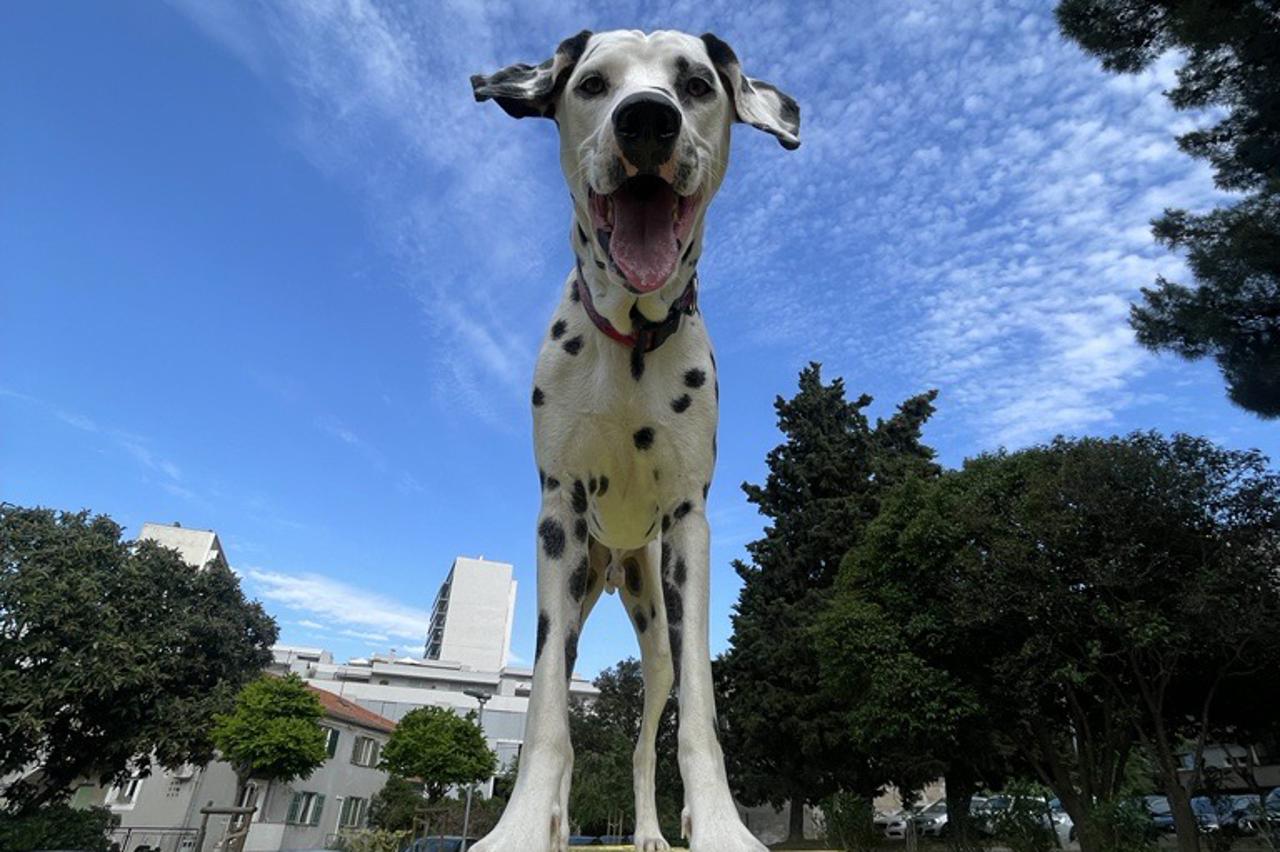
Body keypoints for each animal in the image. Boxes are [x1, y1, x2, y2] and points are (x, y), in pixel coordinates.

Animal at [465, 29, 793, 849]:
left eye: (697, 84)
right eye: (593, 84)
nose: (647, 119)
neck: (631, 342)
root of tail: (616, 568)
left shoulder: (688, 529)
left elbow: (700, 720)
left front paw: (720, 826)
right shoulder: (557, 520)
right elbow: (547, 721)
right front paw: (523, 826)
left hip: (655, 627)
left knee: (647, 742)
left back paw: (647, 830)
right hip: (578, 593)